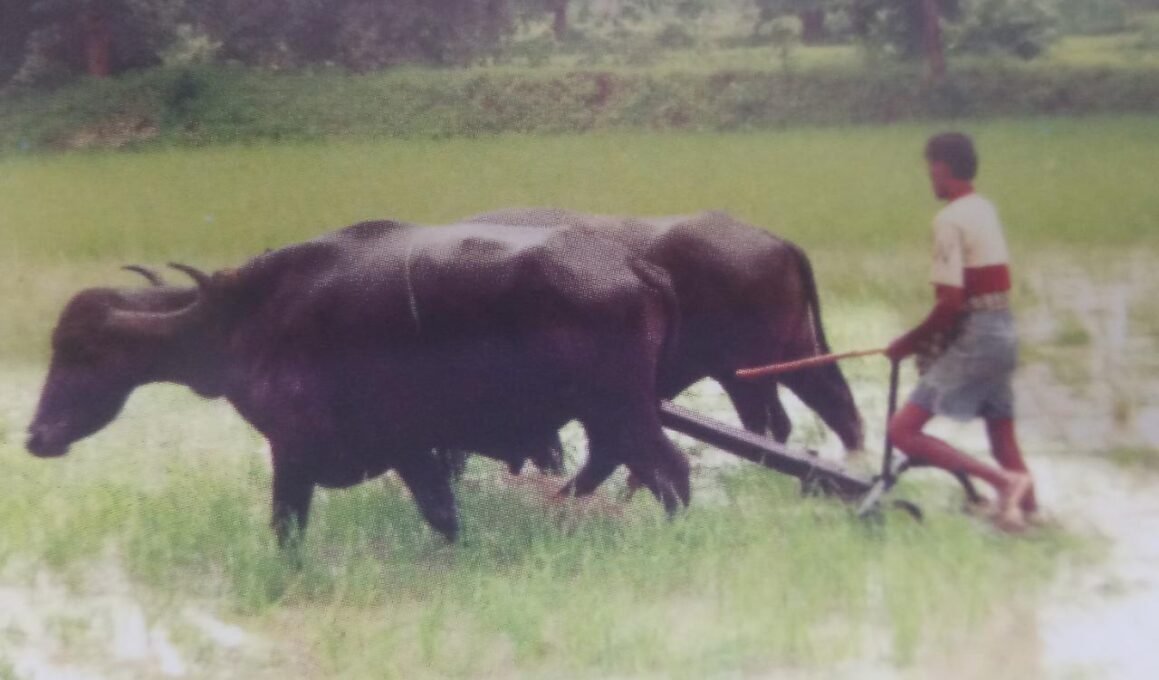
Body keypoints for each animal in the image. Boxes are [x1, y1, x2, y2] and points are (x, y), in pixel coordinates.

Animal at [24, 221, 686, 544]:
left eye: (80, 352)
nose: (36, 436)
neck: (243, 318)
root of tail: (632, 264)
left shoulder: (294, 452)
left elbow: (287, 530)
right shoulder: (412, 453)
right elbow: (444, 517)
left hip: (623, 411)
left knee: (669, 472)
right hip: (608, 416)